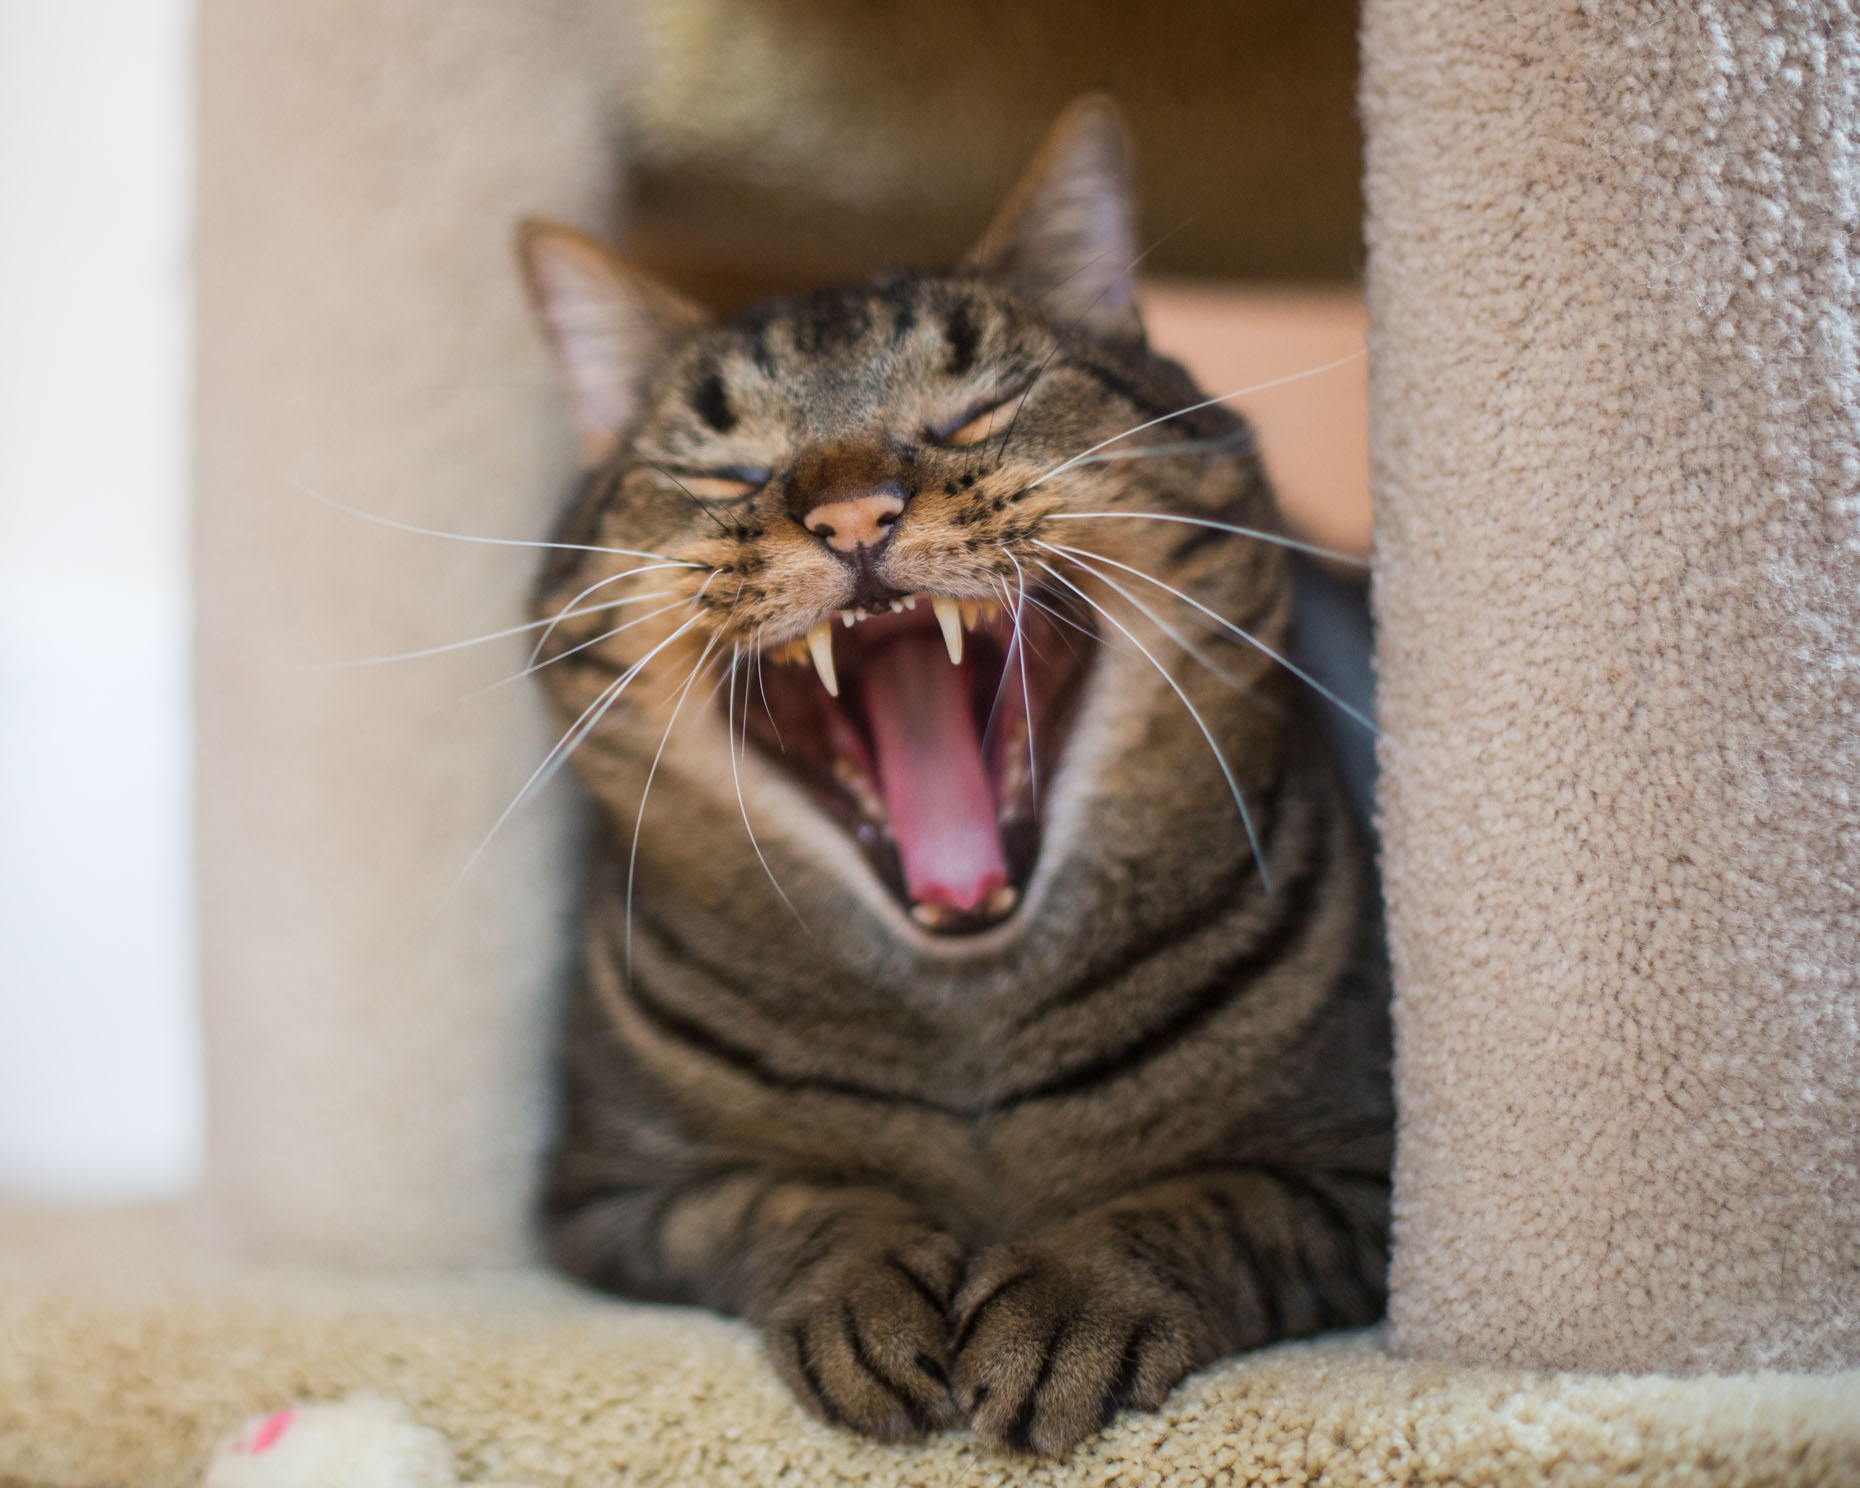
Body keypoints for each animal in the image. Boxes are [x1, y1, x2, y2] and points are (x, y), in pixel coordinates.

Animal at [517, 98, 1391, 1458]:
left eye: (981, 408)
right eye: (724, 471)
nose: (853, 515)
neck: (969, 1023)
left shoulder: (1369, 1172)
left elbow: (1211, 1202)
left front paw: (1071, 1294)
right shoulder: (615, 1195)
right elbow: (785, 1198)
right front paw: (871, 1281)